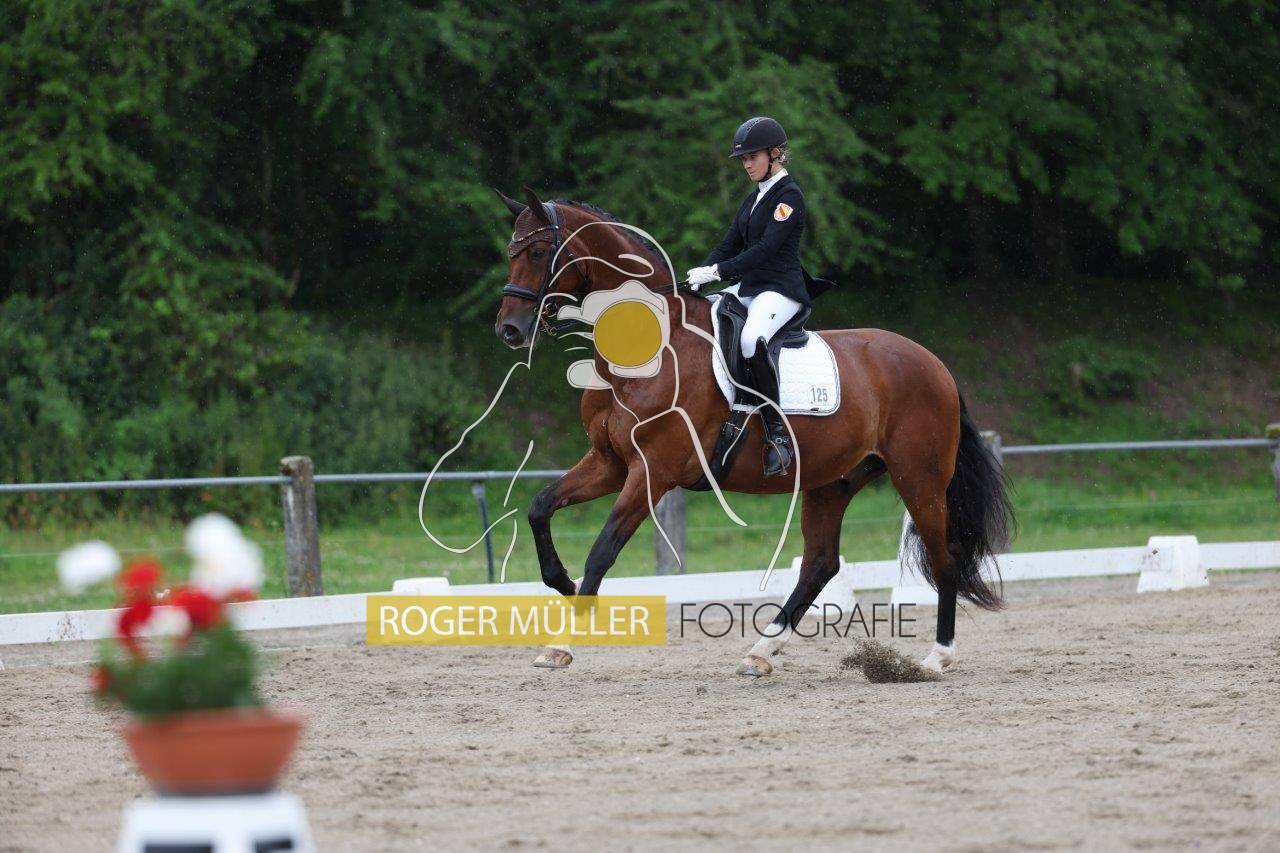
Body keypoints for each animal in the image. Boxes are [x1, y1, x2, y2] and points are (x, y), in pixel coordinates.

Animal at [493, 186, 1012, 676]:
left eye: (538, 252)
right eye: (510, 251)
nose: (509, 331)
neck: (648, 352)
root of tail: (935, 364)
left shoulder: (653, 471)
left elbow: (602, 551)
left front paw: (564, 641)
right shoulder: (609, 462)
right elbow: (540, 507)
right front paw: (561, 583)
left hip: (918, 478)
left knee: (942, 559)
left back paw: (936, 658)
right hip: (832, 481)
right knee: (820, 564)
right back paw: (761, 652)